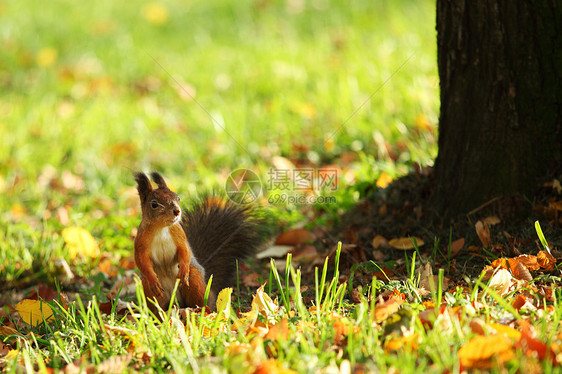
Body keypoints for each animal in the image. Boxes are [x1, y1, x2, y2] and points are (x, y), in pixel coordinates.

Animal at [133, 172, 262, 312]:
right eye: (154, 204)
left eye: (177, 197)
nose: (177, 211)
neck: (161, 228)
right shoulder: (140, 242)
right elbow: (141, 260)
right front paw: (152, 279)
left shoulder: (180, 235)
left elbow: (185, 251)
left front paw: (183, 271)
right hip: (149, 290)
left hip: (195, 280)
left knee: (198, 298)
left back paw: (200, 309)